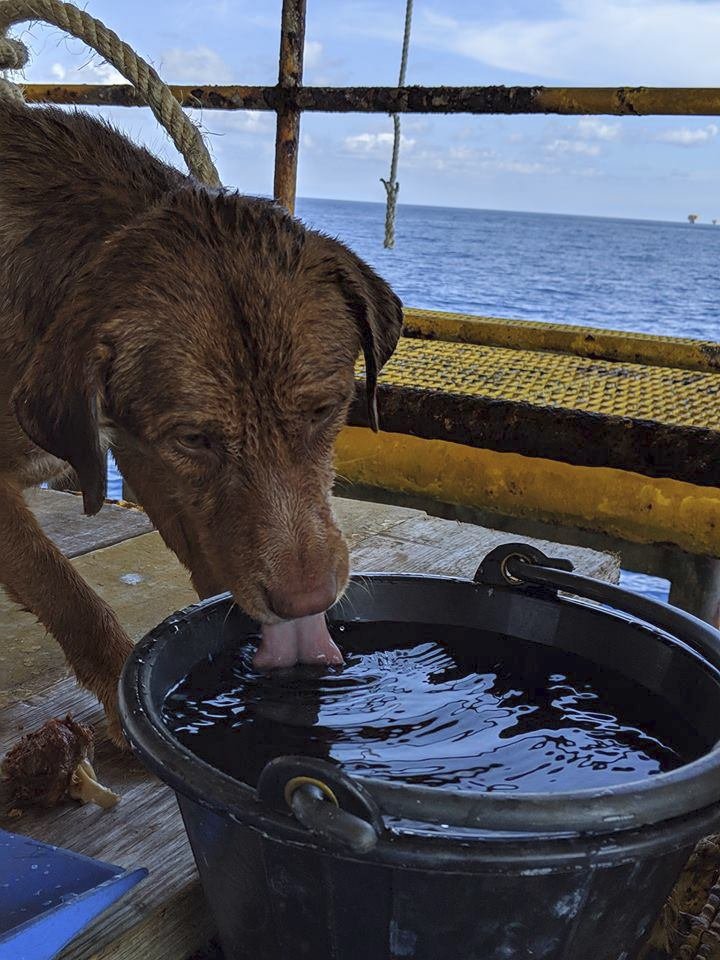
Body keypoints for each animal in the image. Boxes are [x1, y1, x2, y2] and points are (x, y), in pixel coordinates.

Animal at [0, 97, 404, 744]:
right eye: (196, 438)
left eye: (324, 410)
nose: (307, 602)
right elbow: (63, 592)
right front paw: (122, 691)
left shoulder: (140, 448)